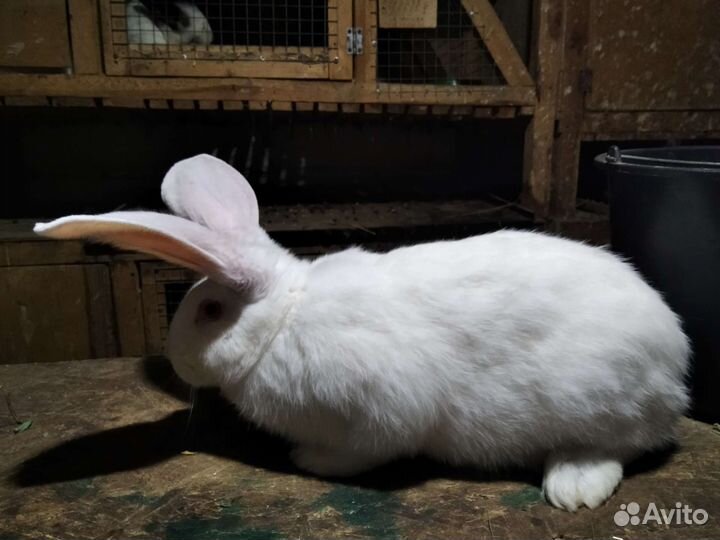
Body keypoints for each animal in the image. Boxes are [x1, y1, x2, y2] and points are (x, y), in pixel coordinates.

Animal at [34, 154, 690, 512]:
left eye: (211, 312)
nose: (174, 359)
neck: (282, 319)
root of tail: (675, 364)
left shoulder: (382, 406)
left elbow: (366, 450)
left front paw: (309, 459)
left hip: (598, 401)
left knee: (617, 446)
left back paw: (573, 485)